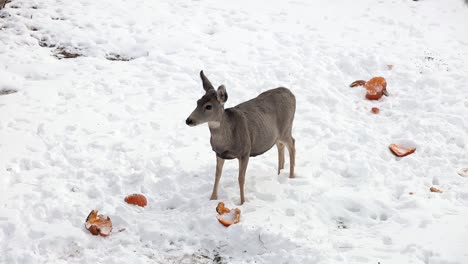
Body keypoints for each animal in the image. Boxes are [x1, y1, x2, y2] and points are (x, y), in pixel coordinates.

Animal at [185, 71, 294, 204]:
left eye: (208, 106)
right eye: (197, 102)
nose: (188, 120)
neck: (227, 140)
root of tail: (291, 93)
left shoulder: (245, 151)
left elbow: (241, 178)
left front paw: (242, 202)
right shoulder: (219, 153)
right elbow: (217, 175)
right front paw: (212, 198)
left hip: (286, 128)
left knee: (292, 144)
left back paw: (291, 176)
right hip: (276, 135)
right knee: (280, 145)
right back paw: (279, 173)